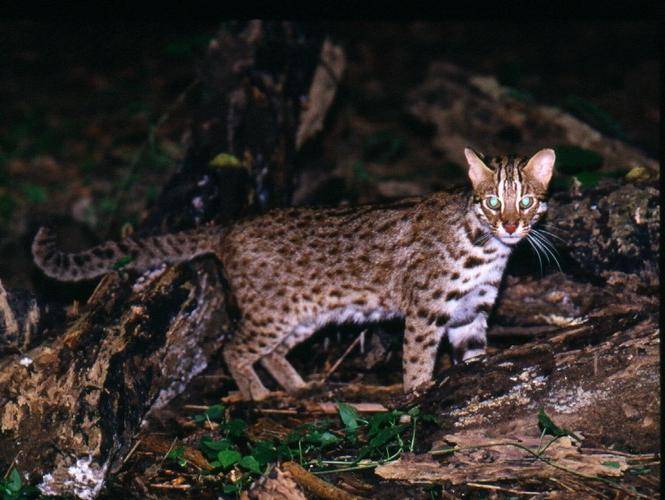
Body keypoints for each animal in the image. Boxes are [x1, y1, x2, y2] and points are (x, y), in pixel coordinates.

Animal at [33, 147, 556, 398]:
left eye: (527, 201)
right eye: (492, 202)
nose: (512, 225)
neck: (486, 248)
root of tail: (231, 225)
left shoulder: (472, 309)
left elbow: (473, 354)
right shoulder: (427, 310)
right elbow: (417, 357)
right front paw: (417, 394)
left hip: (306, 314)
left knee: (272, 352)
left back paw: (298, 386)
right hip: (272, 313)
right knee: (233, 348)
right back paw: (258, 395)